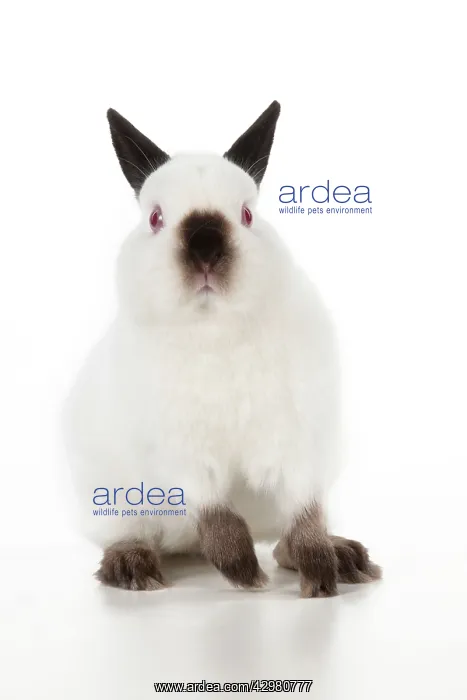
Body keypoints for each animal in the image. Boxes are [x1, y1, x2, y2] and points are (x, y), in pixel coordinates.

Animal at [62, 101, 381, 597]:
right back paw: (133, 568)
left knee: (286, 538)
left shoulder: (299, 445)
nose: (206, 246)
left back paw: (345, 557)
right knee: (135, 534)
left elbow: (305, 516)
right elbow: (218, 517)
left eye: (247, 214)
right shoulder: (184, 459)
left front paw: (320, 579)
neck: (216, 329)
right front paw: (246, 576)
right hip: (114, 500)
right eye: (155, 218)